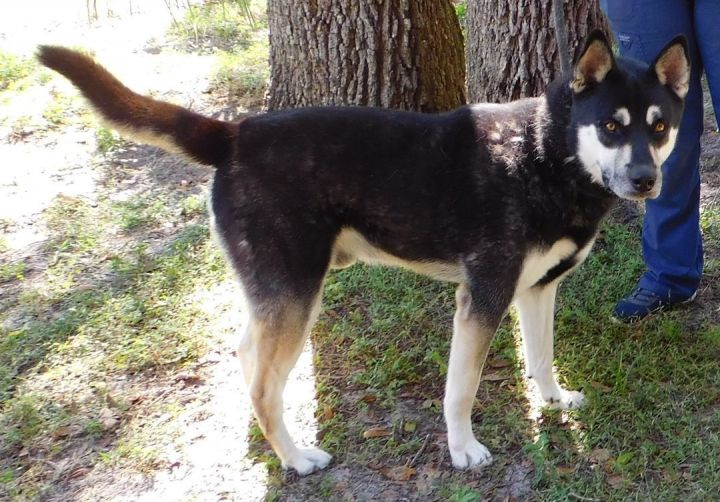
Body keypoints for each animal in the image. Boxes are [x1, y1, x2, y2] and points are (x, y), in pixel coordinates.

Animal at [36, 31, 688, 474]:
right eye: (611, 126)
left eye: (658, 127)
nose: (645, 181)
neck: (544, 153)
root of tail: (234, 133)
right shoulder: (481, 298)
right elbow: (461, 388)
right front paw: (463, 450)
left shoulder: (536, 290)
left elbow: (543, 358)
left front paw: (552, 403)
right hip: (298, 294)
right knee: (263, 387)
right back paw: (296, 458)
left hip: (279, 293)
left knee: (248, 356)